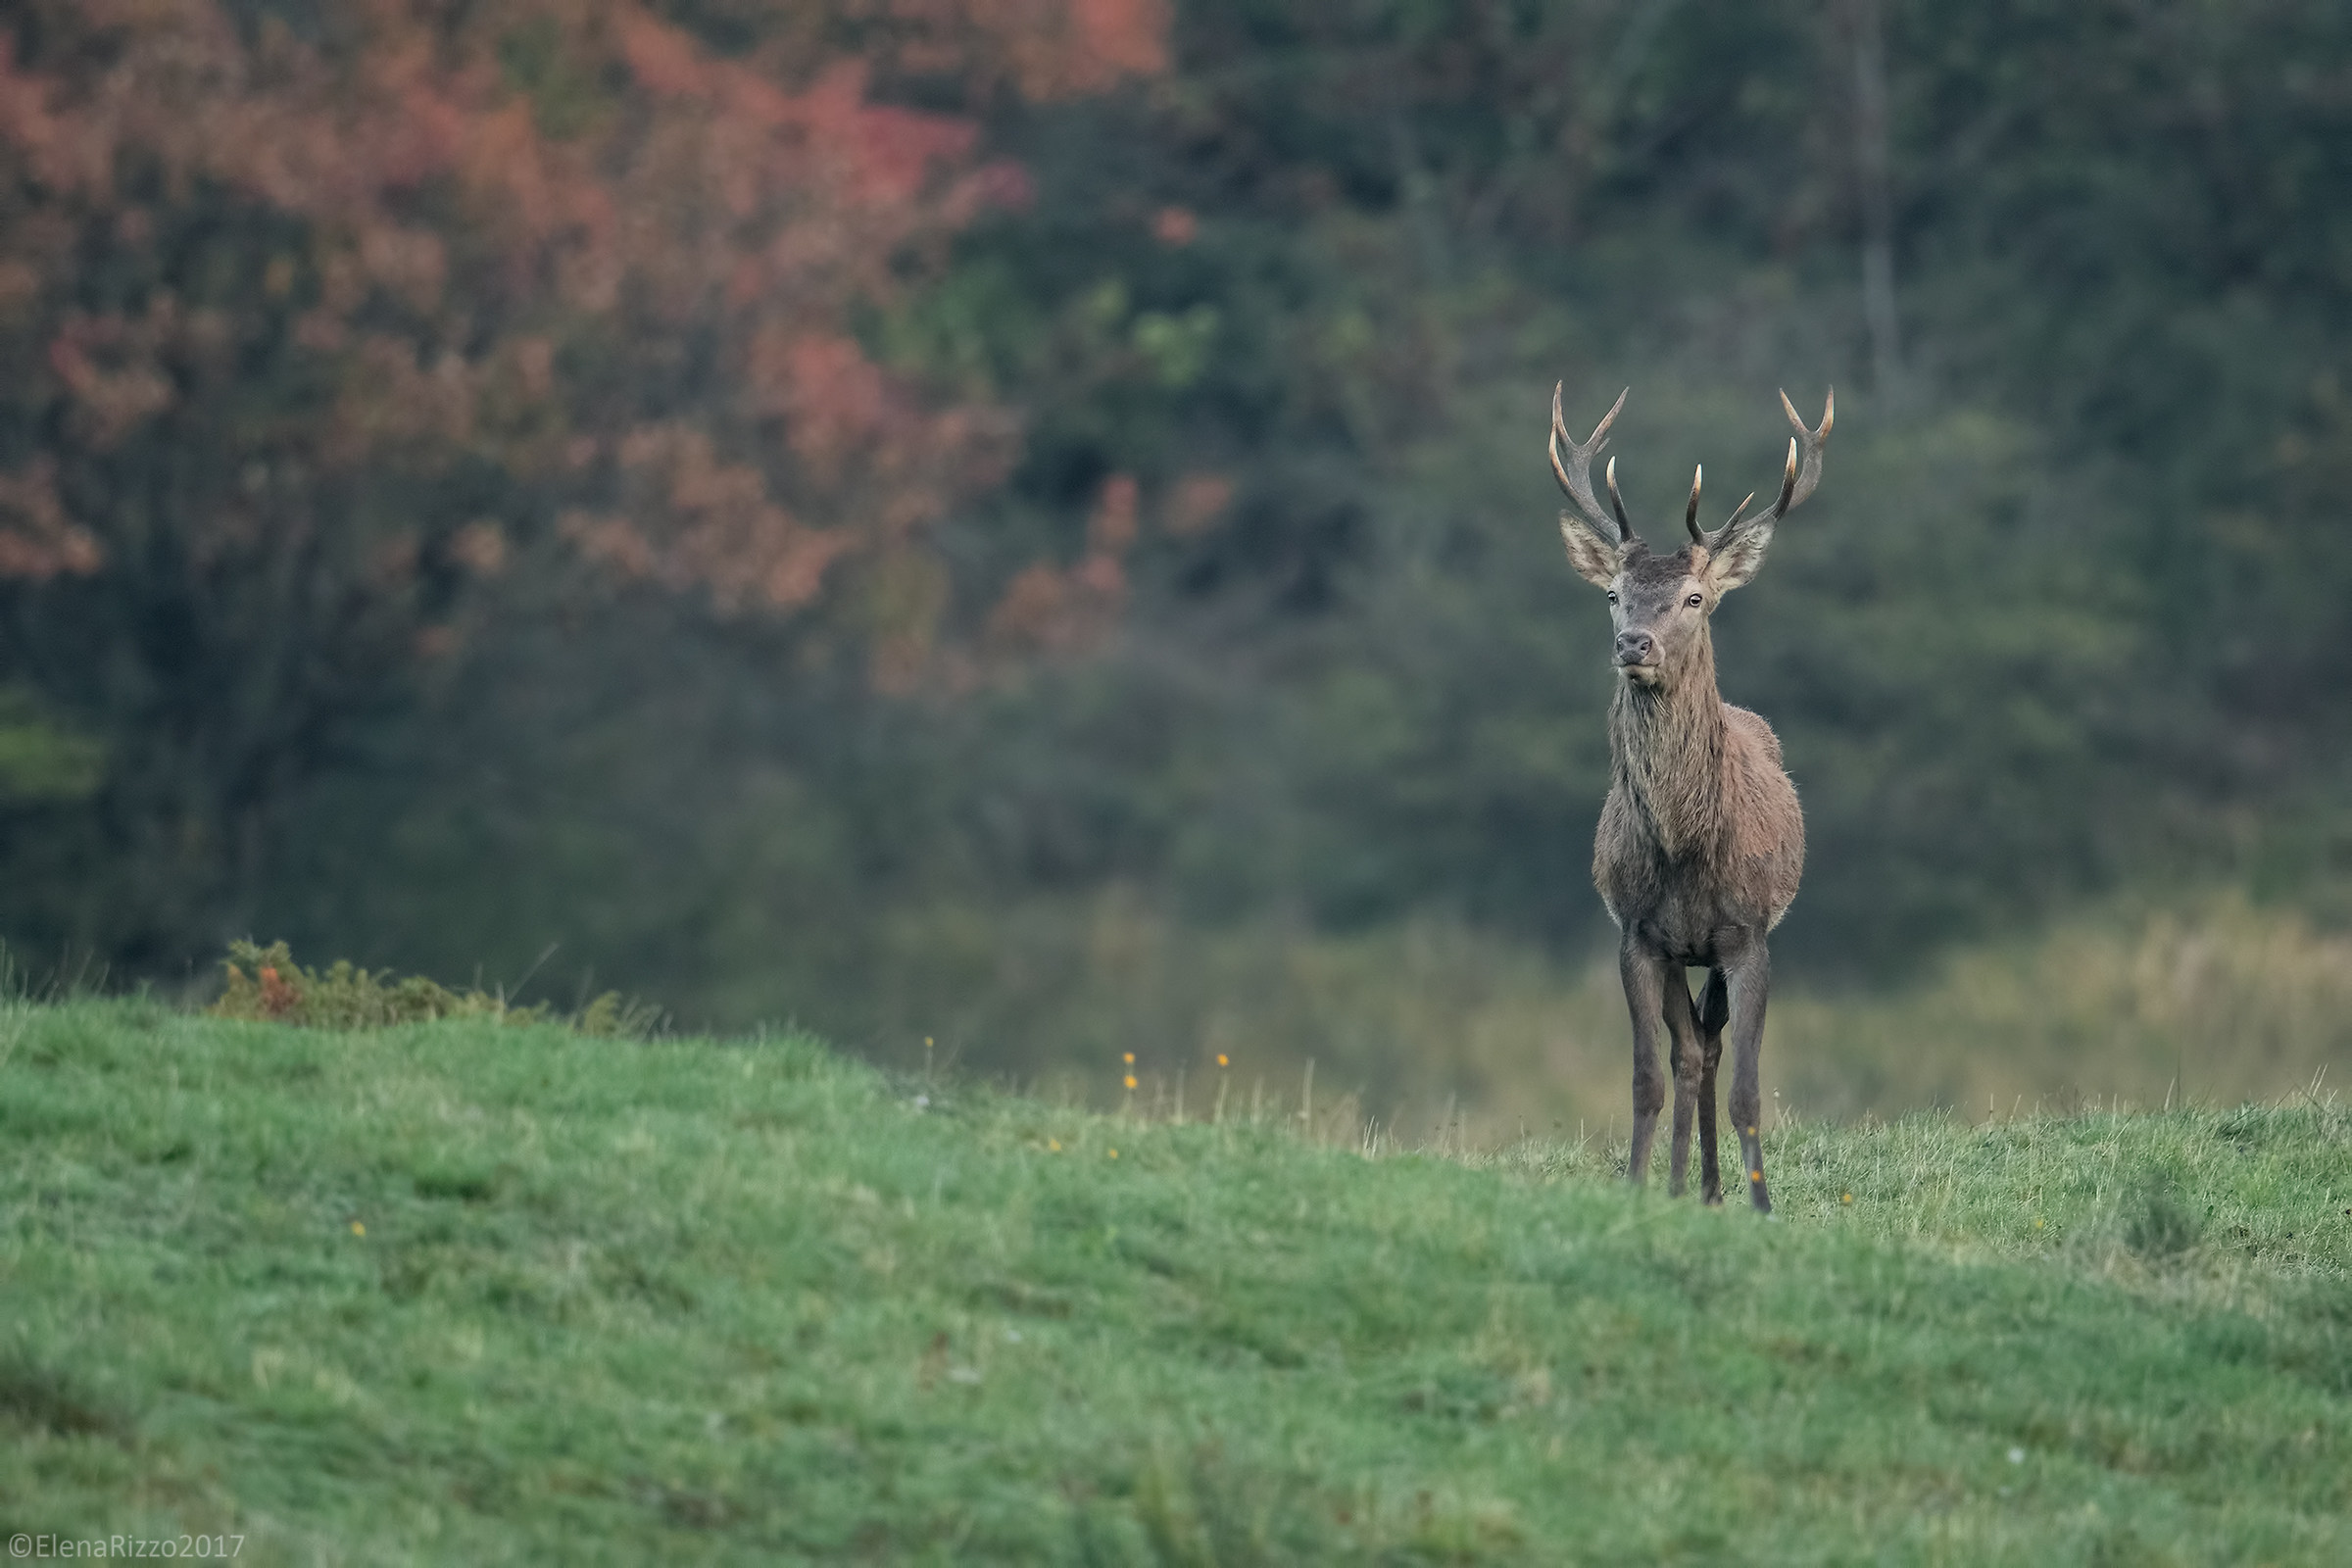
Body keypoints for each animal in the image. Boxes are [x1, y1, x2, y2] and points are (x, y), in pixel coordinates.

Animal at [1546, 382, 1832, 1213]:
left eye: (1695, 597)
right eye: (1614, 593)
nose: (1633, 643)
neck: (1684, 850)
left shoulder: (1749, 936)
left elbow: (1748, 1089)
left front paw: (1765, 1206)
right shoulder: (1638, 936)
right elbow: (1647, 1076)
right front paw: (1640, 1187)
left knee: (1710, 1048)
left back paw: (1711, 1189)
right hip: (1681, 955)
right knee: (1691, 1052)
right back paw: (1688, 1186)